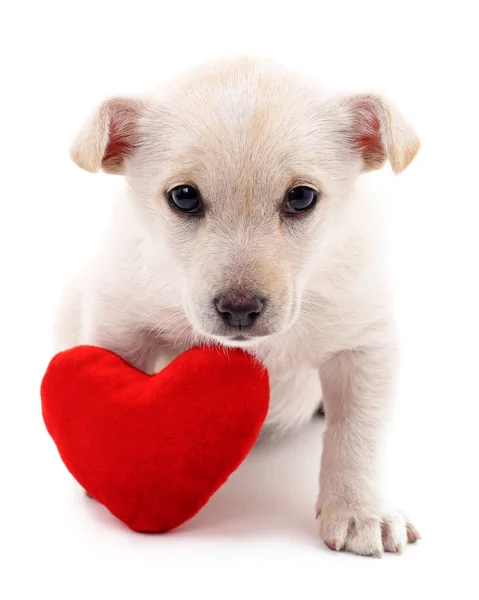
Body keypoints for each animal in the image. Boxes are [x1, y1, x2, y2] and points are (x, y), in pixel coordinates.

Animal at [56, 57, 420, 556]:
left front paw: (359, 512)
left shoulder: (365, 345)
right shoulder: (119, 317)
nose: (240, 311)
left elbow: (357, 436)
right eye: (184, 196)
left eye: (301, 197)